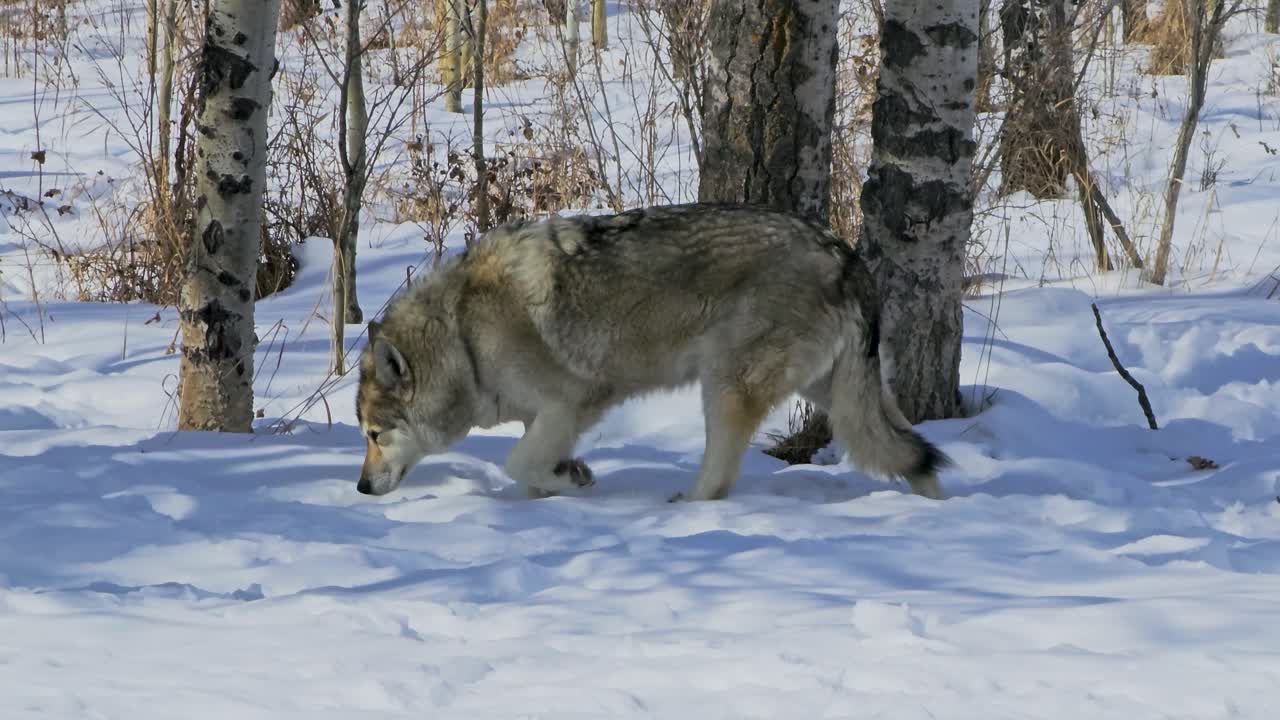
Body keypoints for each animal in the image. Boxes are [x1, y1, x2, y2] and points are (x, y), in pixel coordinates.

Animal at [354, 203, 949, 501]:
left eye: (375, 436)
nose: (360, 487)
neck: (463, 337)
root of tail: (846, 256)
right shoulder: (542, 417)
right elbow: (531, 468)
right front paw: (559, 486)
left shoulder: (573, 401)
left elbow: (518, 463)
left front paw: (572, 480)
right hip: (836, 394)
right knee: (909, 449)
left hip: (725, 385)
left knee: (720, 480)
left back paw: (684, 509)